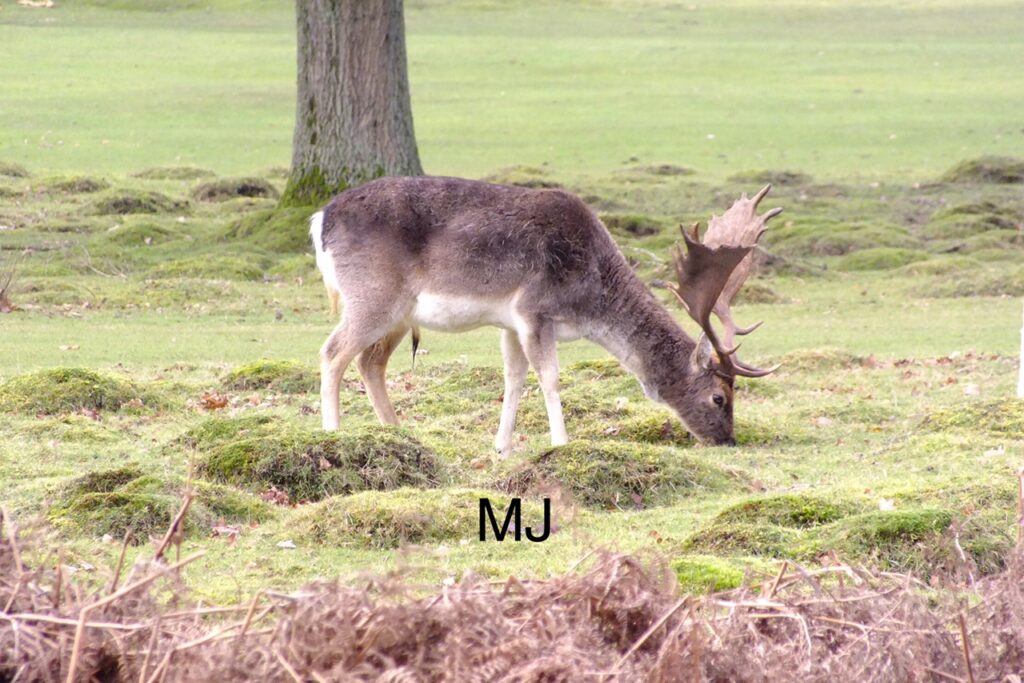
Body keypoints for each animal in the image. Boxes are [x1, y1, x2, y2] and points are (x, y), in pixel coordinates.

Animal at [310, 177, 781, 453]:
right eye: (719, 397)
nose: (728, 439)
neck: (589, 302)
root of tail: (319, 220)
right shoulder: (534, 309)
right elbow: (550, 377)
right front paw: (561, 441)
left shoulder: (509, 322)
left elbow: (514, 378)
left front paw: (502, 447)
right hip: (374, 295)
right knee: (332, 352)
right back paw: (332, 432)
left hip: (399, 314)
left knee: (369, 362)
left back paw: (400, 432)